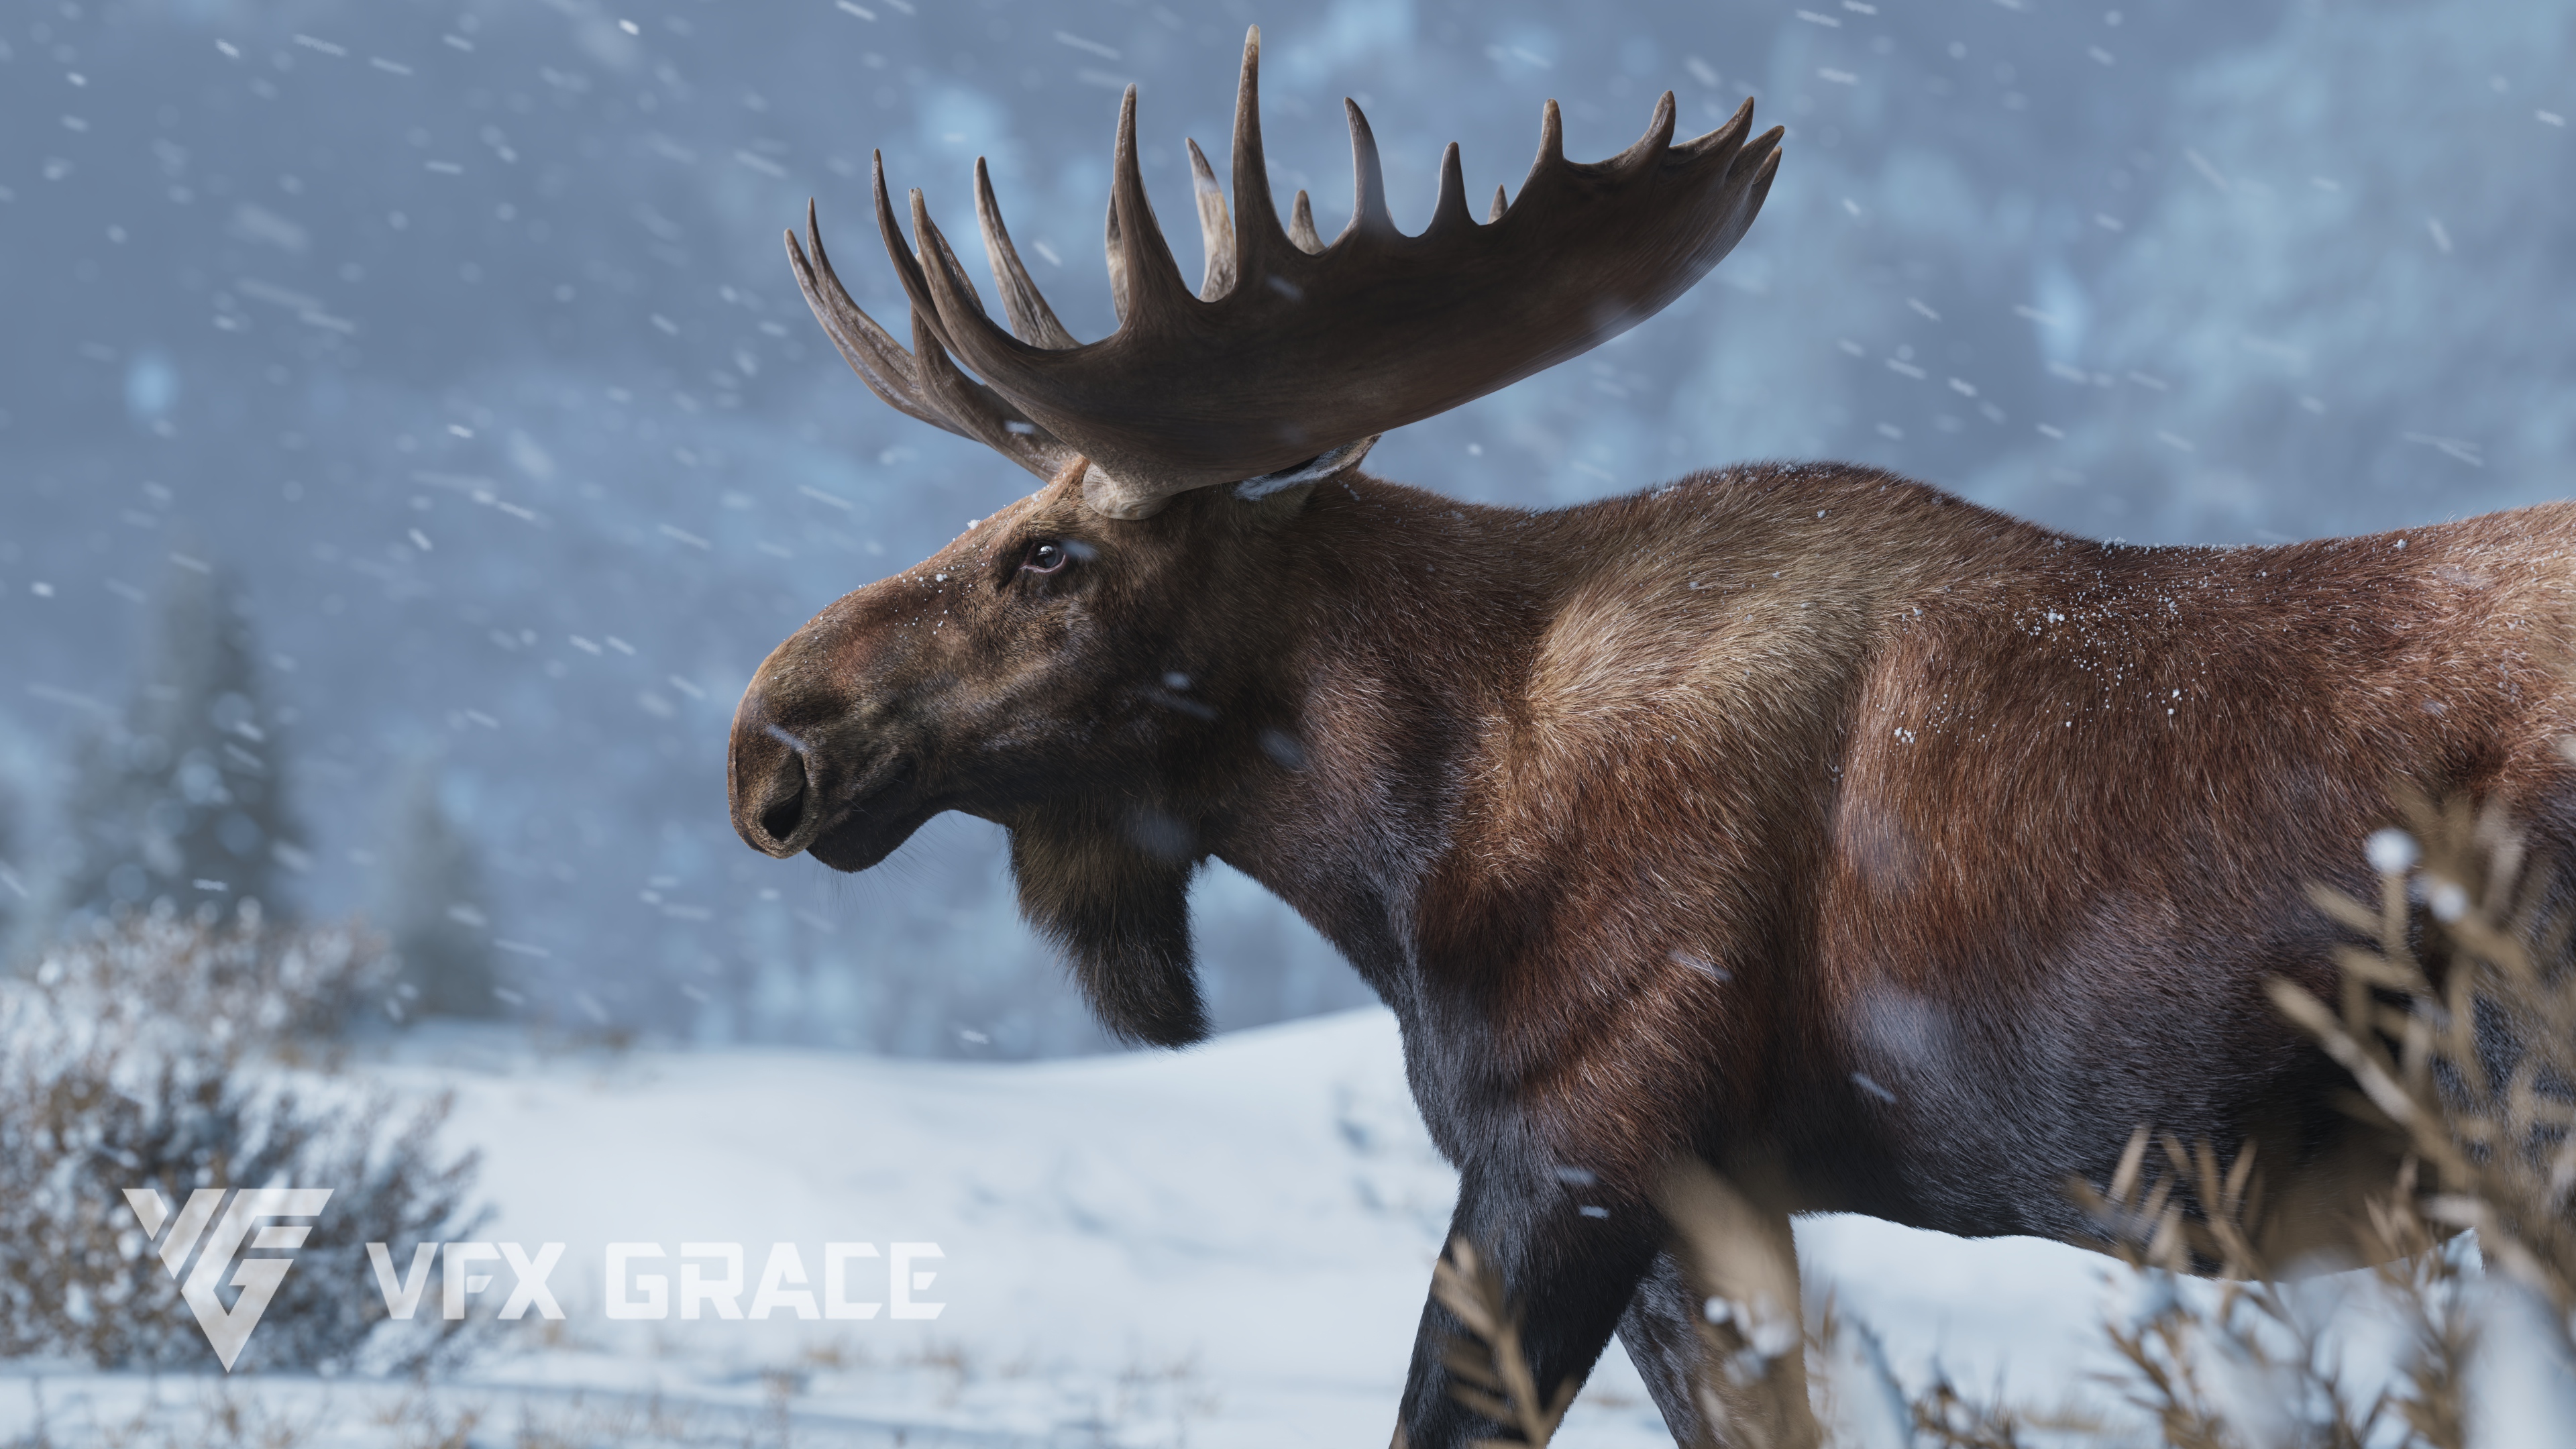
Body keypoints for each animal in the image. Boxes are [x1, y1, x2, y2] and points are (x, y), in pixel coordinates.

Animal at [726, 26, 2576, 1447]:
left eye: (1051, 554)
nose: (769, 743)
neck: (1409, 839)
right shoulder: (1716, 1196)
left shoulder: (1579, 1142)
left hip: (2521, 1107)